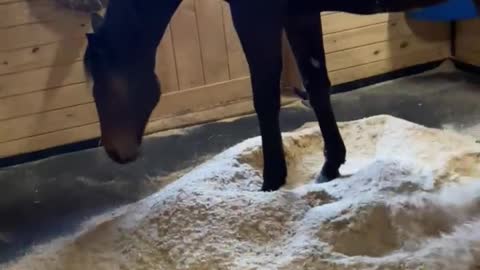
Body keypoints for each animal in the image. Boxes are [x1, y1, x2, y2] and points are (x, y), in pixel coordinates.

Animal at [82, 0, 446, 191]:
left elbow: (265, 98)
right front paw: (330, 165)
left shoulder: (255, 16)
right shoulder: (300, 13)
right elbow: (316, 86)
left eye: (104, 85)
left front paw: (271, 181)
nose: (115, 150)